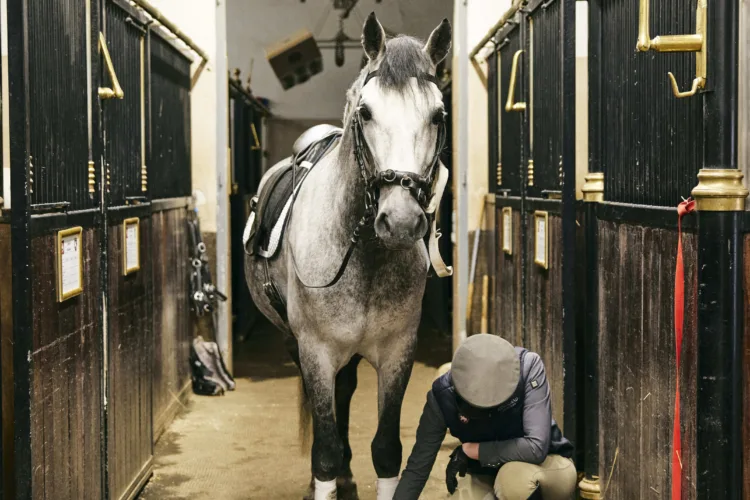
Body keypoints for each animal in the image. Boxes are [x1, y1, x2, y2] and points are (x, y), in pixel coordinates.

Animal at [245, 12, 452, 500]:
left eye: (438, 115)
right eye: (366, 112)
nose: (400, 220)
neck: (365, 257)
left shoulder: (398, 352)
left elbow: (387, 449)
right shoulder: (315, 352)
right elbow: (323, 449)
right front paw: (326, 474)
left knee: (347, 389)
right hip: (295, 342)